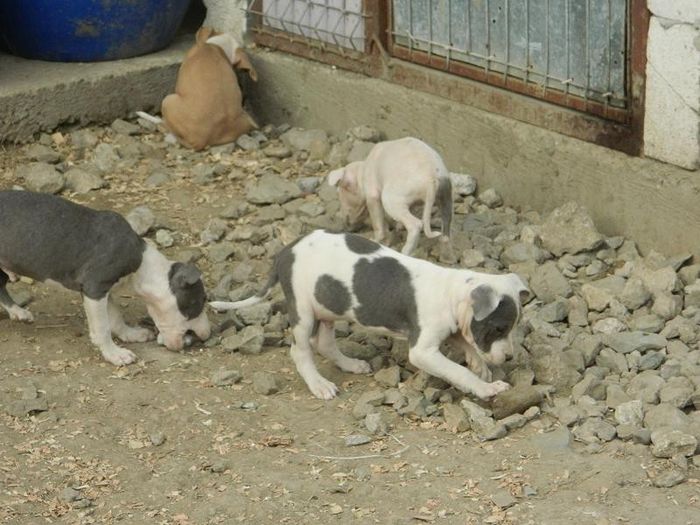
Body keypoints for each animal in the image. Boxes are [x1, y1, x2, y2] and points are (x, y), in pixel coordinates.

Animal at [0, 190, 211, 366]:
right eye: (200, 302)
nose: (207, 334)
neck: (142, 265)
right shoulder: (95, 289)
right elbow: (102, 327)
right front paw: (115, 354)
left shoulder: (105, 291)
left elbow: (115, 316)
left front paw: (130, 334)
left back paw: (18, 312)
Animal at [211, 228, 528, 398]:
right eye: (499, 328)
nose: (510, 358)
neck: (451, 292)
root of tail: (286, 251)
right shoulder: (422, 351)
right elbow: (456, 370)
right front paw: (486, 387)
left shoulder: (451, 329)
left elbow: (467, 344)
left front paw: (480, 366)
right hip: (303, 310)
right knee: (300, 351)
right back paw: (319, 384)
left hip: (328, 305)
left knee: (324, 343)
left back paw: (351, 364)